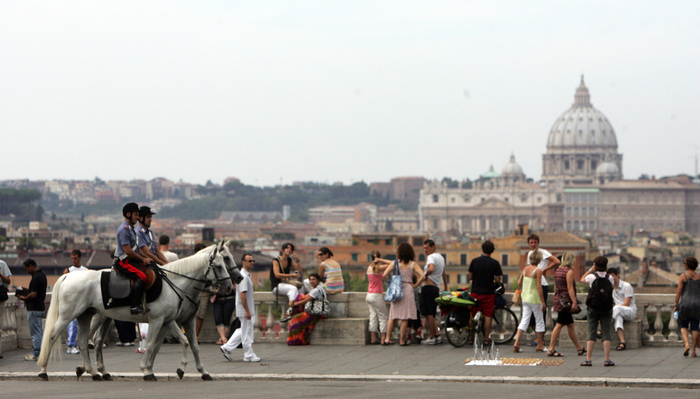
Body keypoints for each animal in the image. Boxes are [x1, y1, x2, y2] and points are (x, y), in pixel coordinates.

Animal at [38, 241, 241, 382]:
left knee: (87, 340)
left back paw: (95, 372)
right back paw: (44, 371)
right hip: (69, 315)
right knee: (53, 336)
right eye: (221, 264)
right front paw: (148, 370)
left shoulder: (174, 321)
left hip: (88, 315)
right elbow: (154, 344)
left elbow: (187, 344)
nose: (233, 283)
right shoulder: (159, 320)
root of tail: (68, 276)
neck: (177, 284)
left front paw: (200, 371)